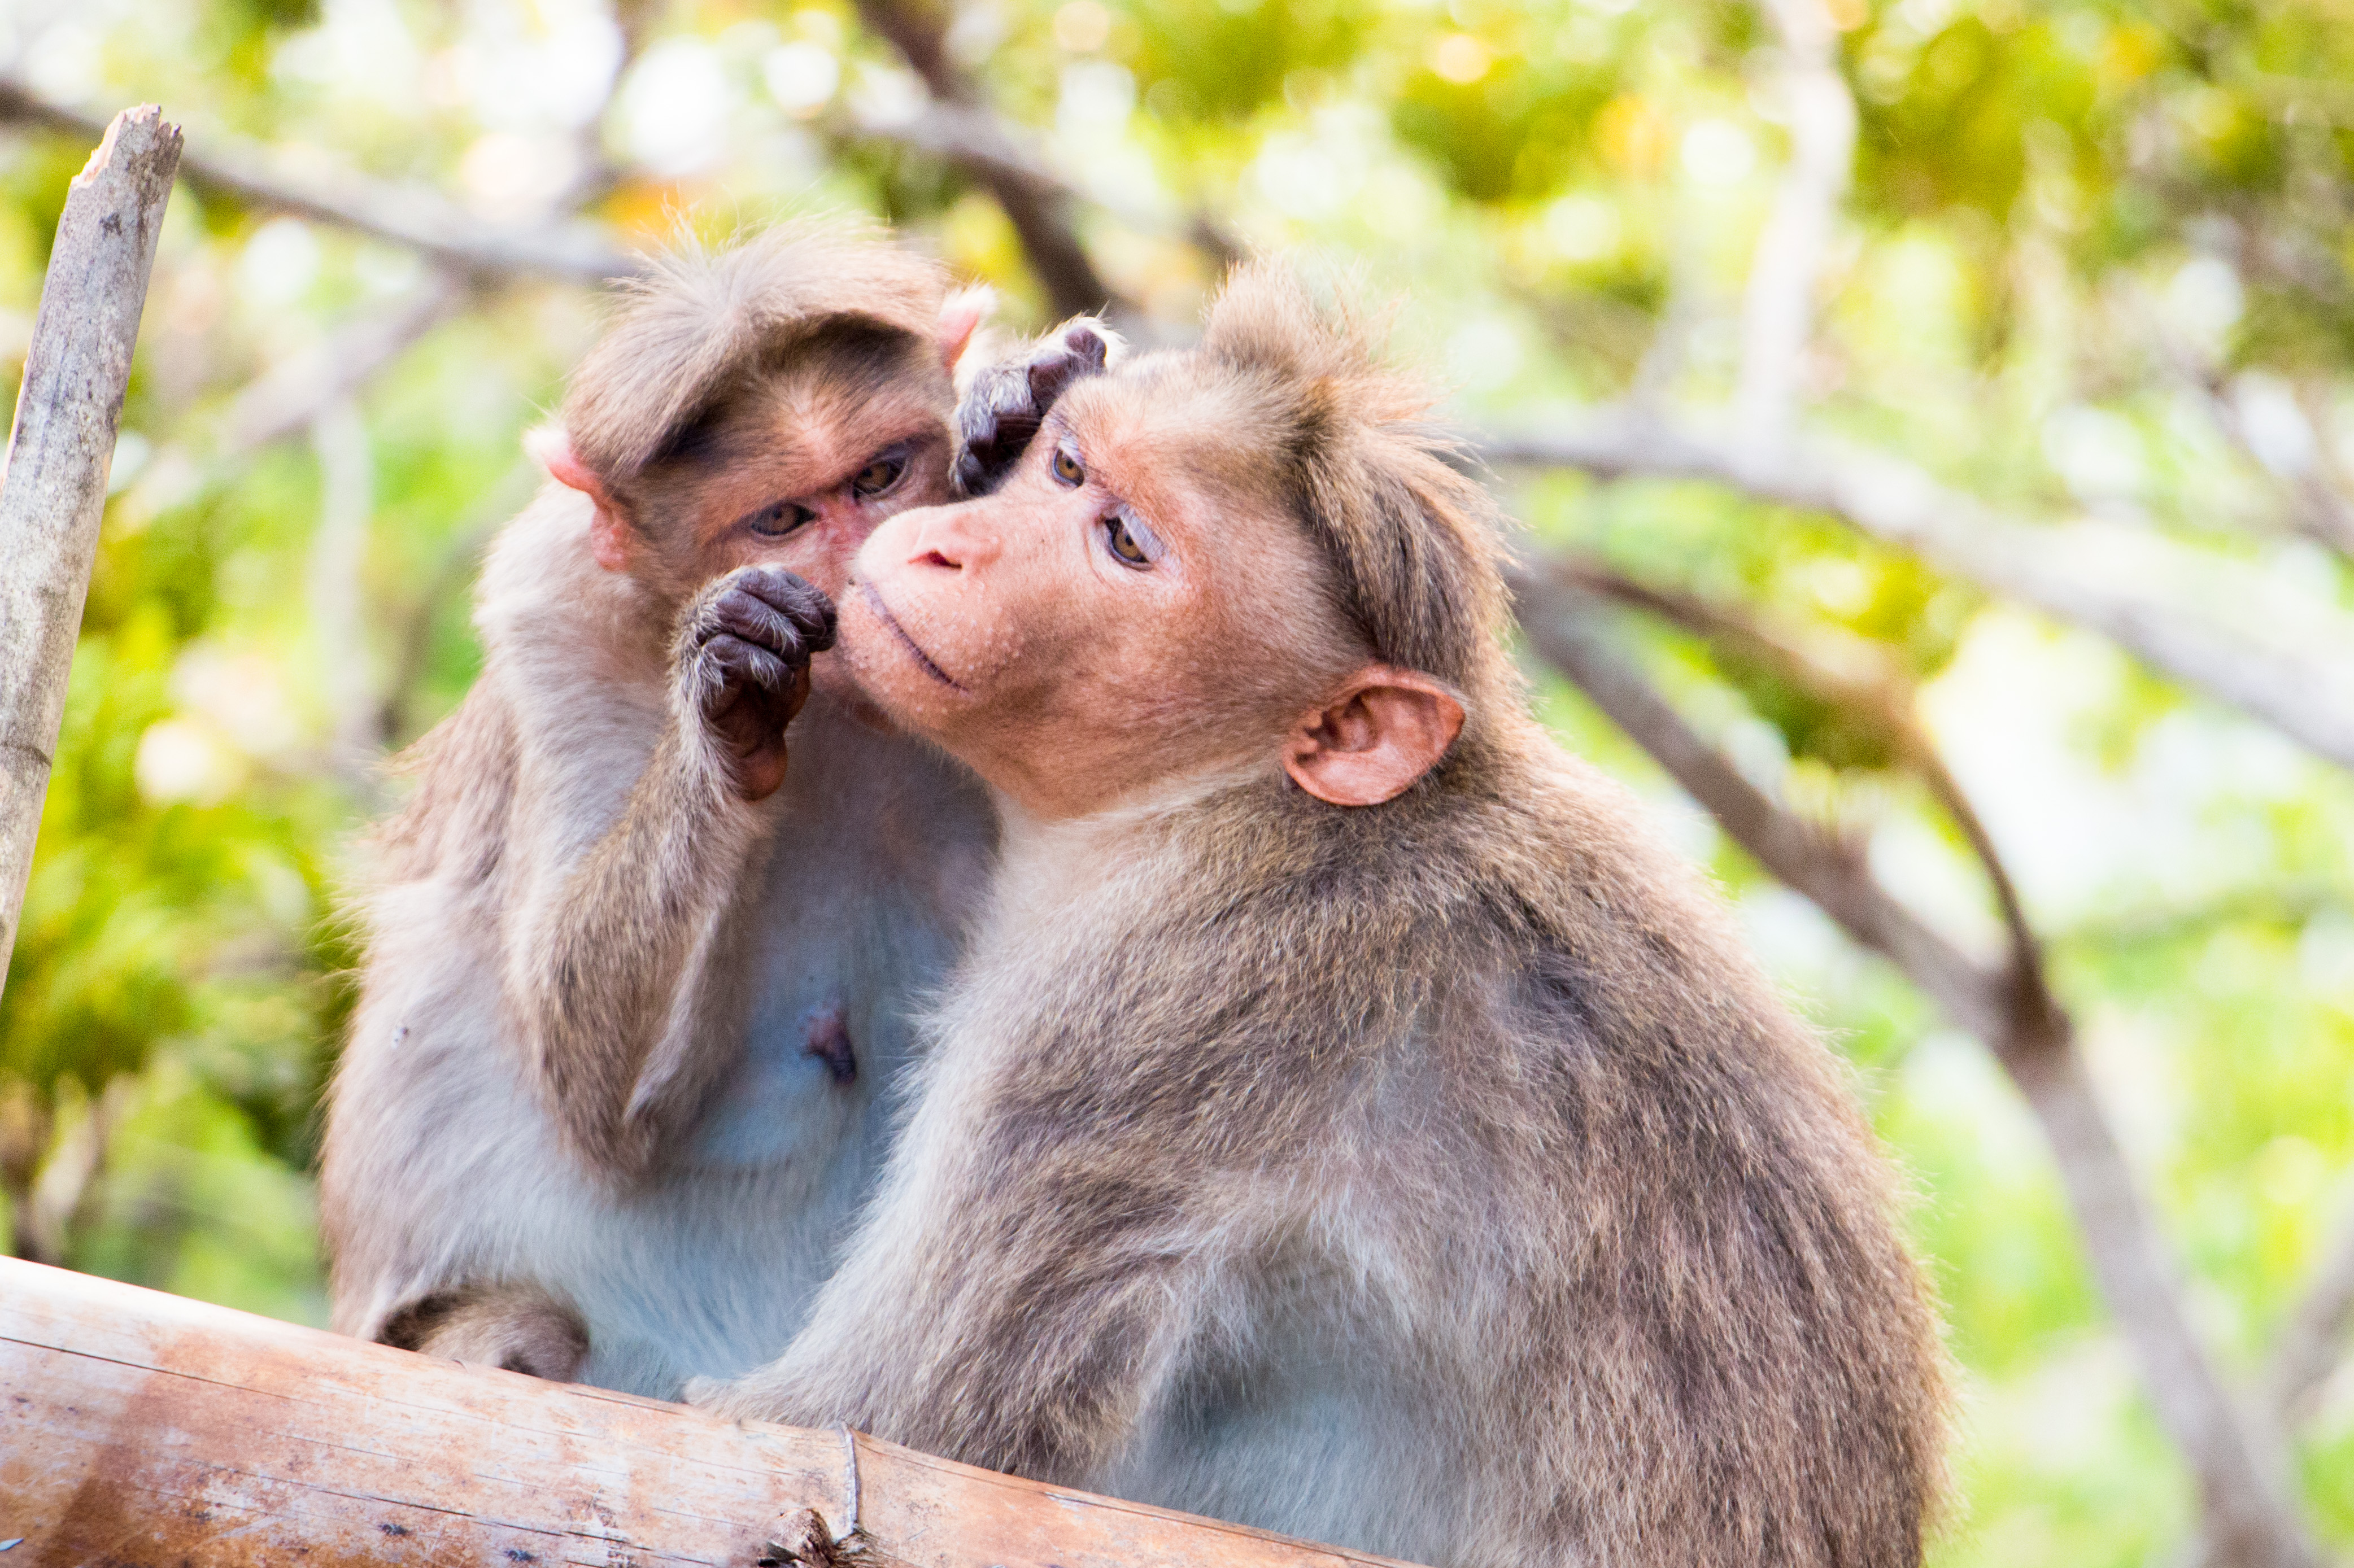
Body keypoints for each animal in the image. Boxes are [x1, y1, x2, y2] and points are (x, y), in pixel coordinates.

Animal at [320, 222, 1111, 1394]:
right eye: (779, 517)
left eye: (880, 474)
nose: (868, 569)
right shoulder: (551, 609)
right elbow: (592, 1080)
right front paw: (724, 692)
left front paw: (1012, 407)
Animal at [692, 259, 1949, 1563]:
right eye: (1071, 471)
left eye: (1125, 544)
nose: (946, 546)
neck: (1233, 799)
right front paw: (1004, 407)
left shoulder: (1157, 1001)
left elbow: (877, 1424)